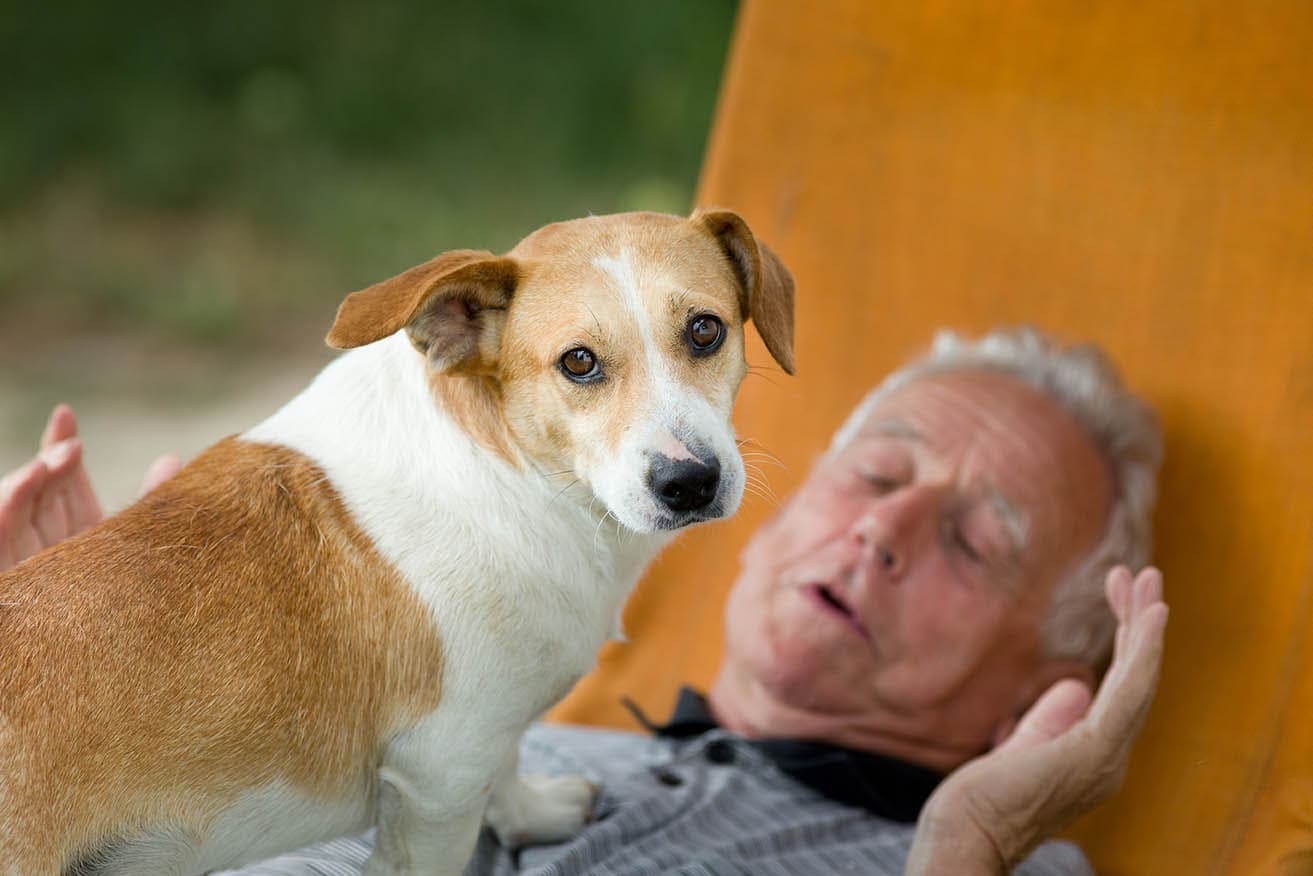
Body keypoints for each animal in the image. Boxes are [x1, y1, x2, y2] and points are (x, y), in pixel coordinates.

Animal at [0, 208, 793, 872]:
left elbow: (507, 766)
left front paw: (531, 814)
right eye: (578, 362)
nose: (690, 482)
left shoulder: (475, 748)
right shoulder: (440, 780)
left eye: (705, 330)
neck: (513, 474)